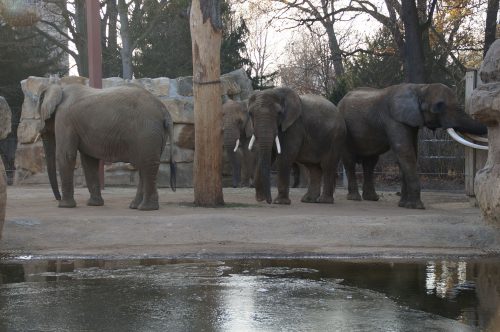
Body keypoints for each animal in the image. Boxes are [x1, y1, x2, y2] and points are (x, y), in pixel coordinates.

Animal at [340, 82, 488, 210]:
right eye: (439, 106)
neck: (420, 88)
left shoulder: (411, 121)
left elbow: (412, 152)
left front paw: (404, 205)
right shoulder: (393, 119)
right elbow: (405, 151)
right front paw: (416, 207)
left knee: (370, 162)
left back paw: (372, 198)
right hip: (345, 131)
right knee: (350, 161)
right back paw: (355, 198)